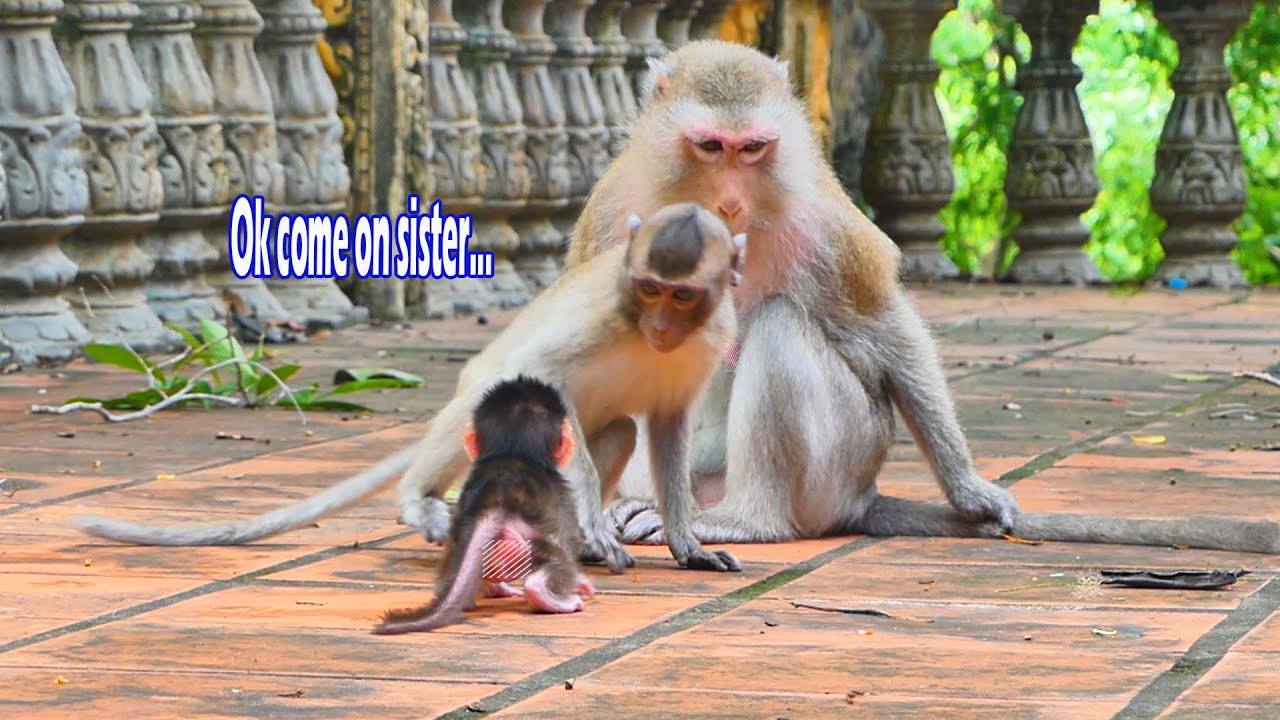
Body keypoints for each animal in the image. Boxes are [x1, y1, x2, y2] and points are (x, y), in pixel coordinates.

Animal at [70, 202, 753, 571]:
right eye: (648, 289)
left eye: (680, 297)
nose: (660, 326)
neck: (641, 327)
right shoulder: (601, 316)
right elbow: (539, 372)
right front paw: (598, 519)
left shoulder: (715, 335)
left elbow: (668, 427)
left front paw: (686, 543)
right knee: (487, 396)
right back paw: (422, 501)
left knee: (614, 433)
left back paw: (571, 542)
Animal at [373, 376, 595, 635]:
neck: (513, 450)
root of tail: (495, 500)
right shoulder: (565, 497)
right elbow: (569, 538)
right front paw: (582, 583)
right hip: (534, 541)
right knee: (559, 562)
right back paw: (546, 595)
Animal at [554, 39, 1280, 557]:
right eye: (710, 147)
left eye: (752, 149)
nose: (730, 202)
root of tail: (861, 497)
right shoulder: (613, 211)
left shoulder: (821, 217)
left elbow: (884, 324)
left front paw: (968, 487)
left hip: (841, 464)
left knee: (783, 325)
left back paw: (745, 521)